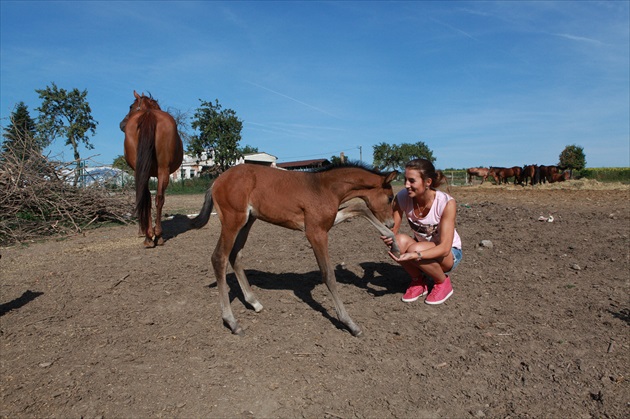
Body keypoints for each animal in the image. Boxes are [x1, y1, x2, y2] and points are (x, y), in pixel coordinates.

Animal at [120, 90, 184, 248]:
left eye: (131, 106)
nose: (122, 124)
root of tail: (149, 114)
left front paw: (143, 231)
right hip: (162, 170)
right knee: (157, 198)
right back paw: (156, 235)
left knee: (147, 197)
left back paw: (150, 236)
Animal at [191, 162, 400, 336]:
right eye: (390, 198)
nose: (391, 223)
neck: (324, 188)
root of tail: (217, 180)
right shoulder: (315, 233)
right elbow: (328, 275)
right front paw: (350, 323)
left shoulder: (325, 224)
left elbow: (360, 208)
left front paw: (394, 243)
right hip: (233, 220)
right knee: (219, 257)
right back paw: (232, 322)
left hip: (248, 221)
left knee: (235, 255)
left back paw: (254, 302)